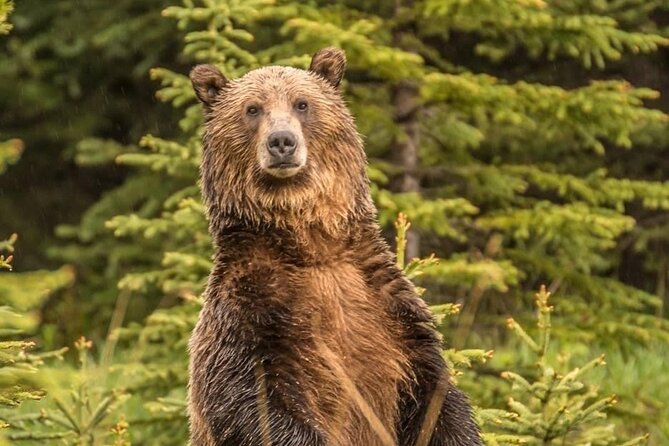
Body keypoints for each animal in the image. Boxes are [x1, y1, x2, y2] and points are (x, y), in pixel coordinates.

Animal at [187, 47, 482, 446]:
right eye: (252, 109)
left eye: (302, 103)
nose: (282, 141)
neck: (313, 247)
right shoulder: (249, 310)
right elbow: (251, 402)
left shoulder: (390, 312)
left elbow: (435, 398)